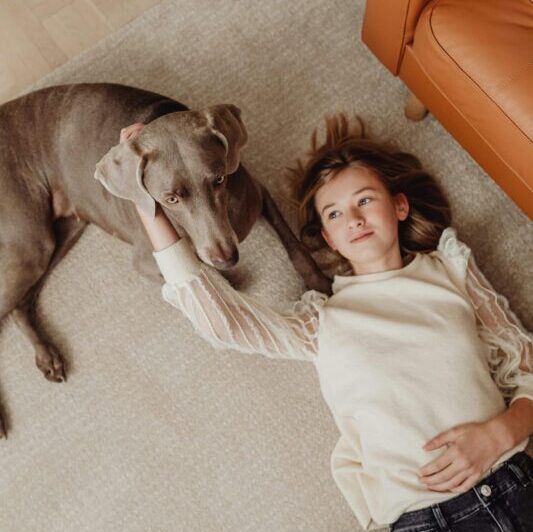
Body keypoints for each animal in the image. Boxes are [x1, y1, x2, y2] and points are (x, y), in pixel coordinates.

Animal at [0, 83, 330, 438]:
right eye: (170, 199)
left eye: (218, 180)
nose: (227, 256)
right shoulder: (147, 260)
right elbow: (200, 272)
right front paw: (227, 281)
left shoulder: (258, 194)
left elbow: (293, 243)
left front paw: (319, 282)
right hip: (31, 242)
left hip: (62, 232)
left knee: (20, 304)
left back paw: (47, 355)